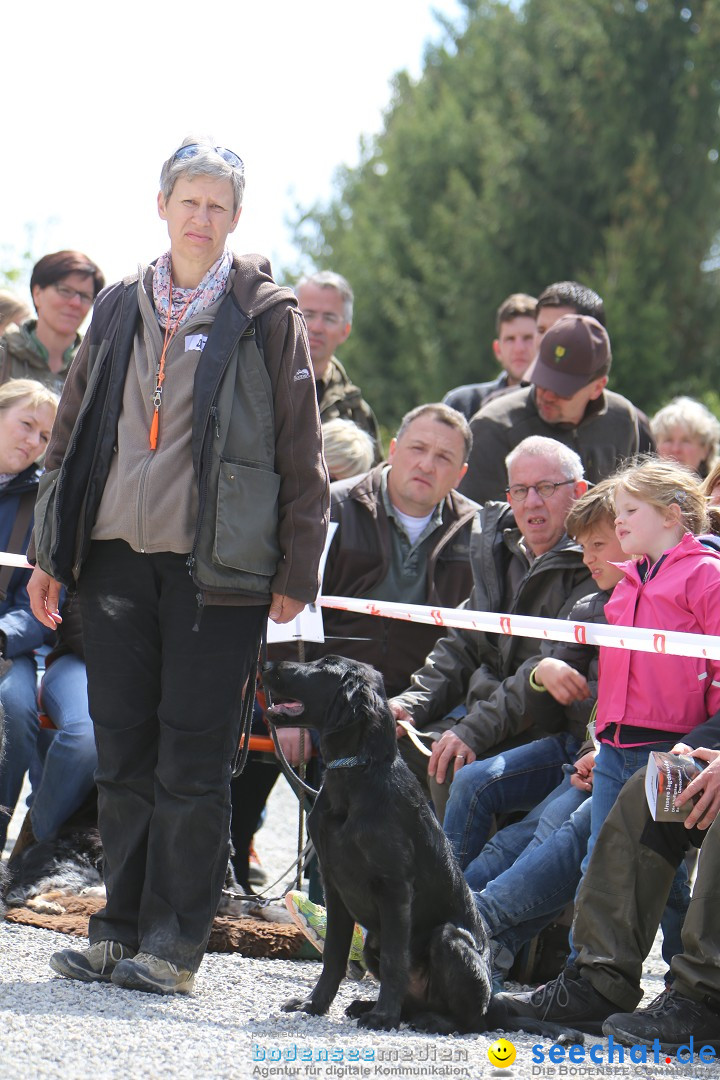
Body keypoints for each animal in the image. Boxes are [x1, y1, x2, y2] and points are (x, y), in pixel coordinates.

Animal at [264, 652, 496, 1032]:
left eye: (323, 666)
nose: (266, 665)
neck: (355, 774)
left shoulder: (395, 887)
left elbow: (393, 961)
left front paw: (384, 1017)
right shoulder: (333, 883)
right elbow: (333, 955)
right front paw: (315, 1004)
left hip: (449, 939)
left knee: (470, 1019)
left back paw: (426, 1019)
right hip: (373, 936)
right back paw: (368, 1005)